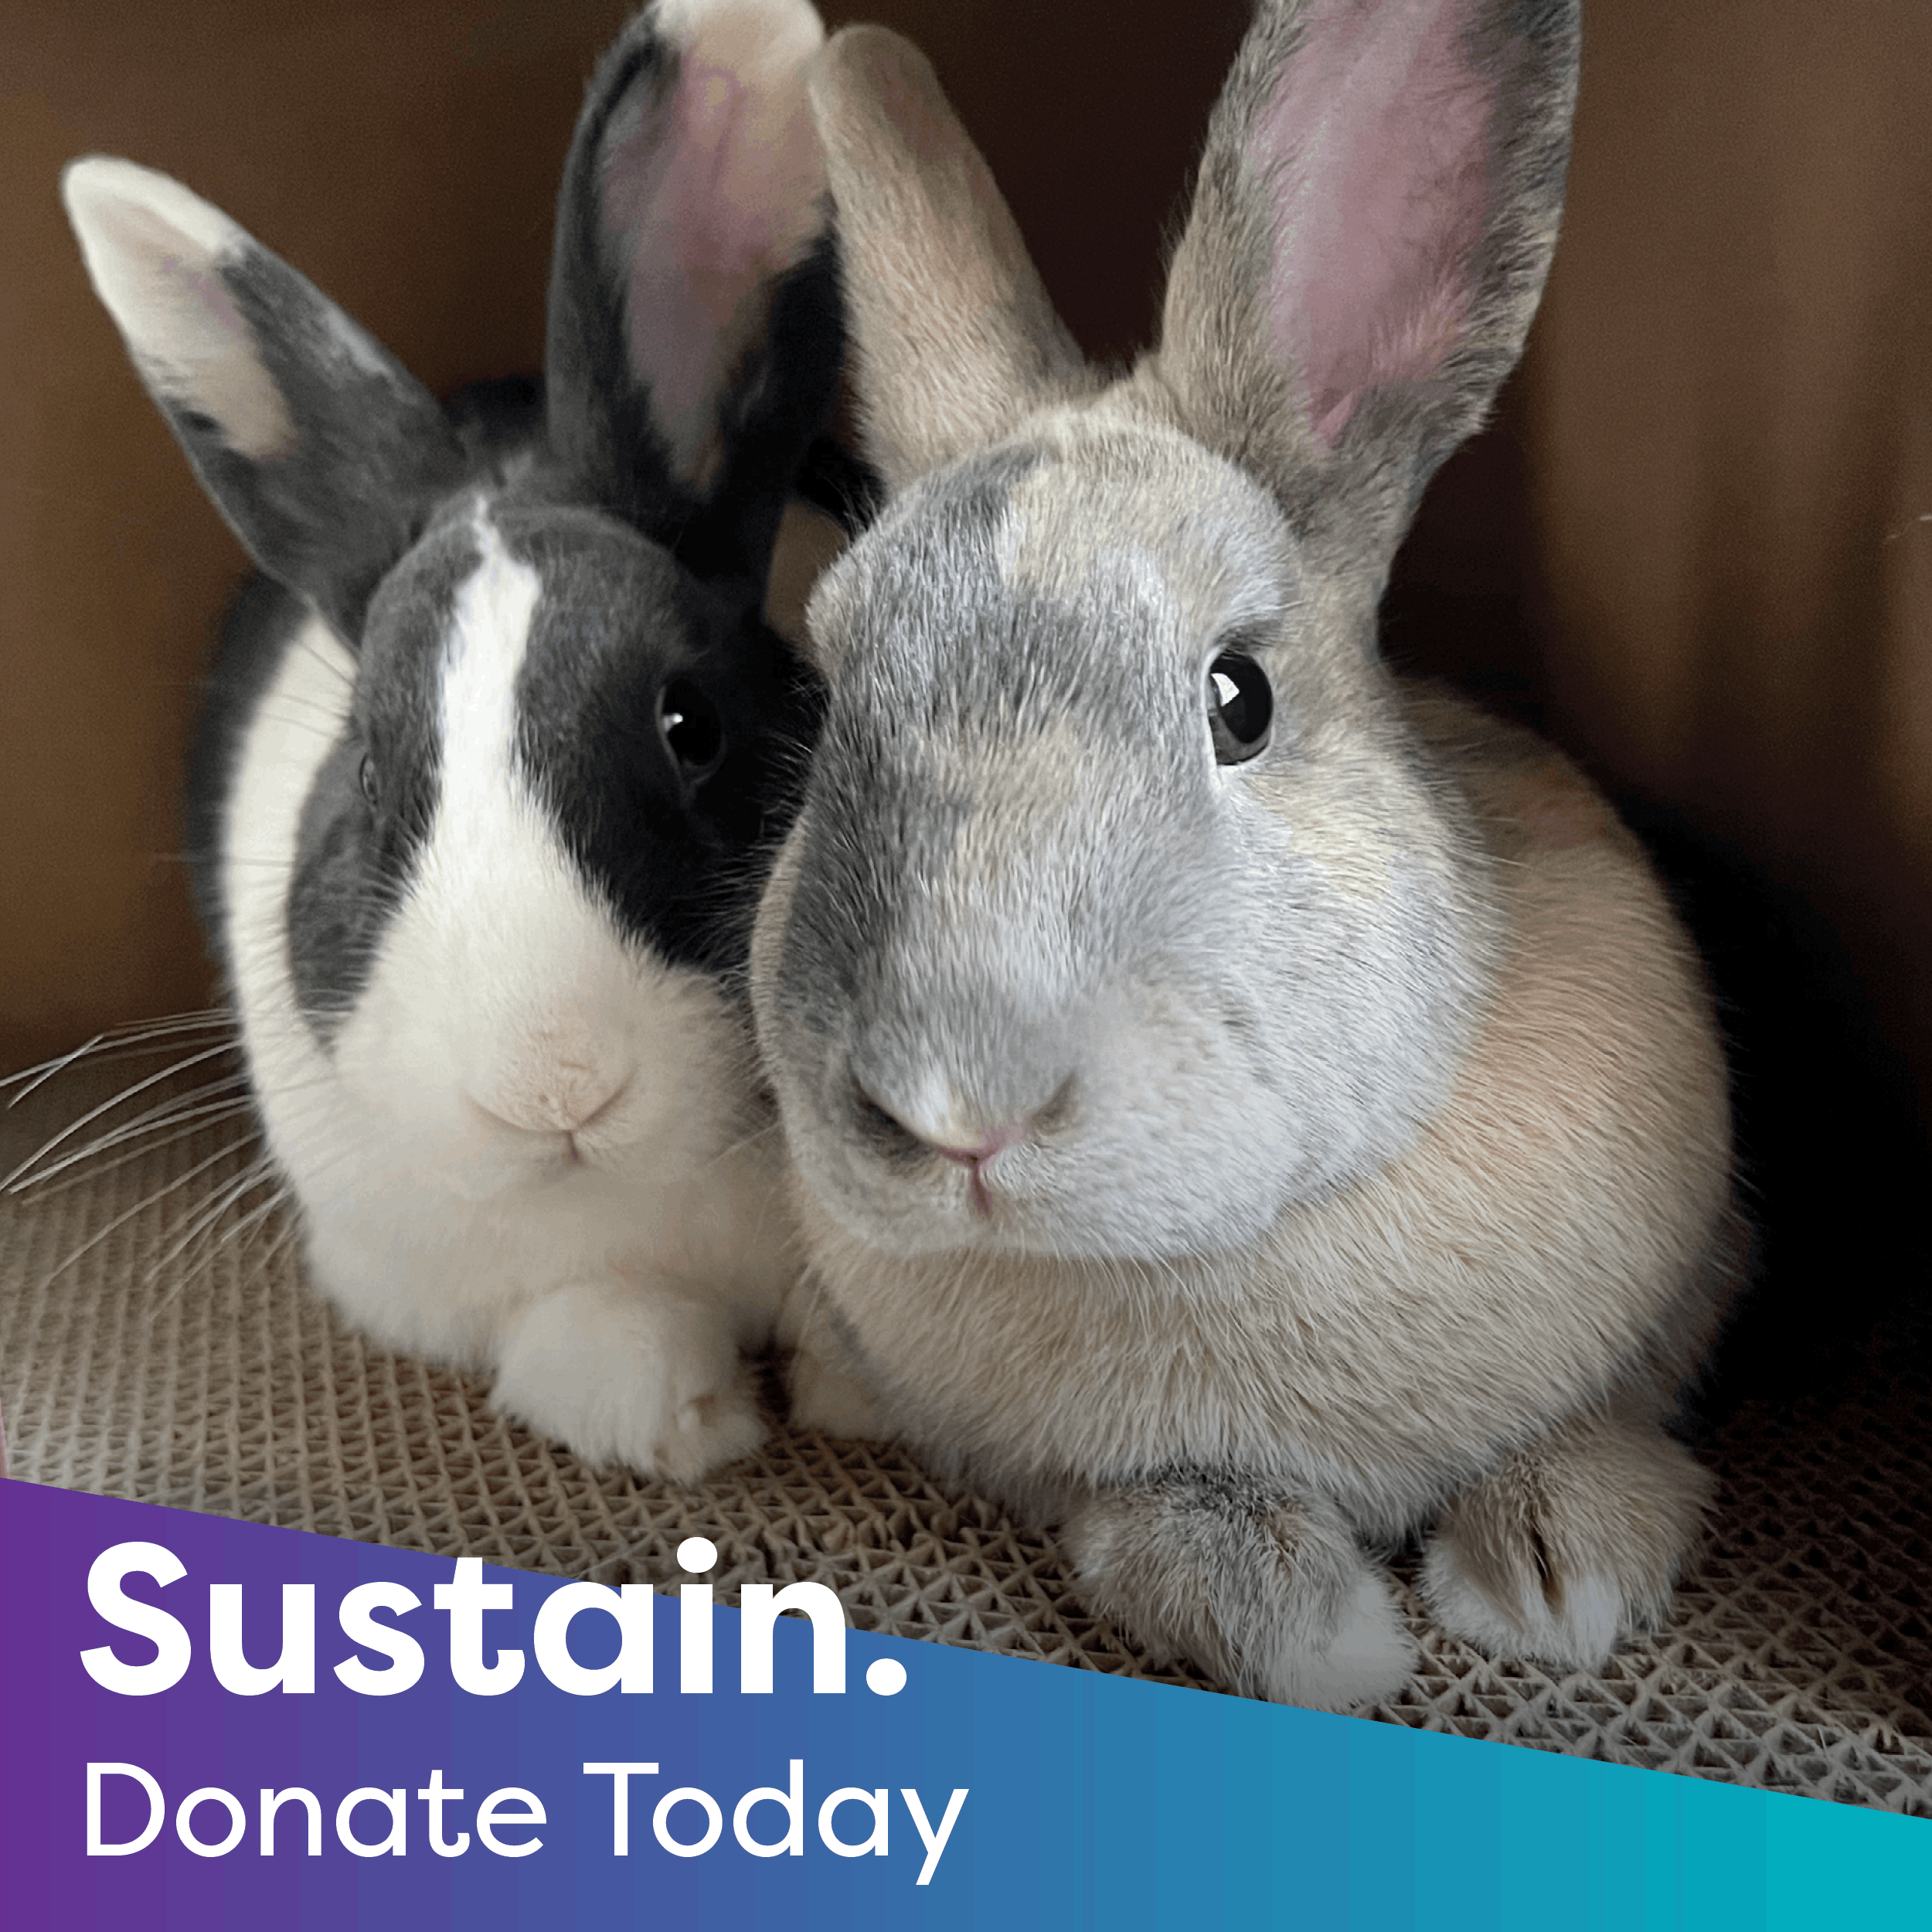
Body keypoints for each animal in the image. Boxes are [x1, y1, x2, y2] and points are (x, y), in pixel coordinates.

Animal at [750, 0, 1742, 1709]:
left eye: (1240, 699)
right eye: (822, 703)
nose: (952, 1105)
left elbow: (1602, 1416)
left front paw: (1557, 1572)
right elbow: (1157, 1519)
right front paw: (1325, 1636)